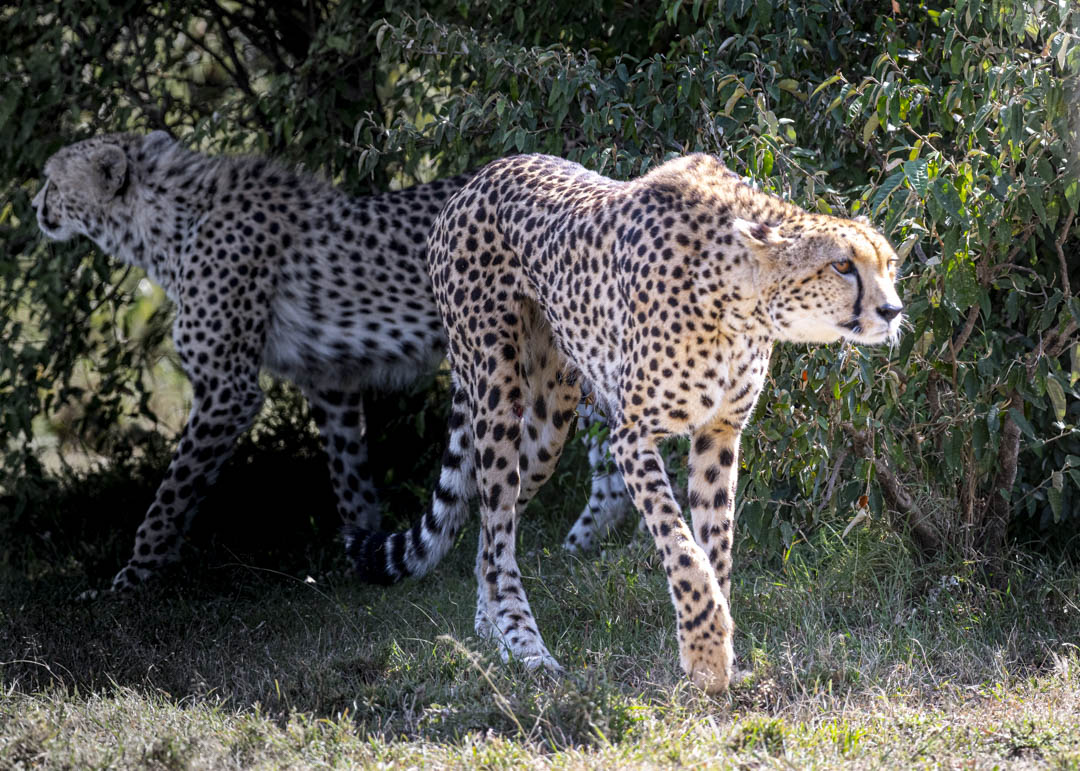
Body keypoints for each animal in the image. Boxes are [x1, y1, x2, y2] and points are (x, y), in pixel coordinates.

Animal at [31, 131, 627, 592]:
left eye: (53, 182)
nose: (36, 207)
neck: (171, 221)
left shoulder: (227, 391)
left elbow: (170, 495)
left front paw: (131, 578)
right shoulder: (329, 381)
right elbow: (349, 475)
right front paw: (362, 552)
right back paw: (579, 548)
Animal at [347, 152, 904, 693]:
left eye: (890, 264)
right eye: (842, 265)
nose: (894, 310)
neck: (741, 297)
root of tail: (479, 176)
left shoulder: (719, 432)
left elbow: (716, 547)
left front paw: (719, 644)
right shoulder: (632, 433)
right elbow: (682, 547)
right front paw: (705, 651)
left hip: (549, 423)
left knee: (493, 522)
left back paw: (491, 629)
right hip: (495, 393)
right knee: (498, 522)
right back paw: (525, 645)